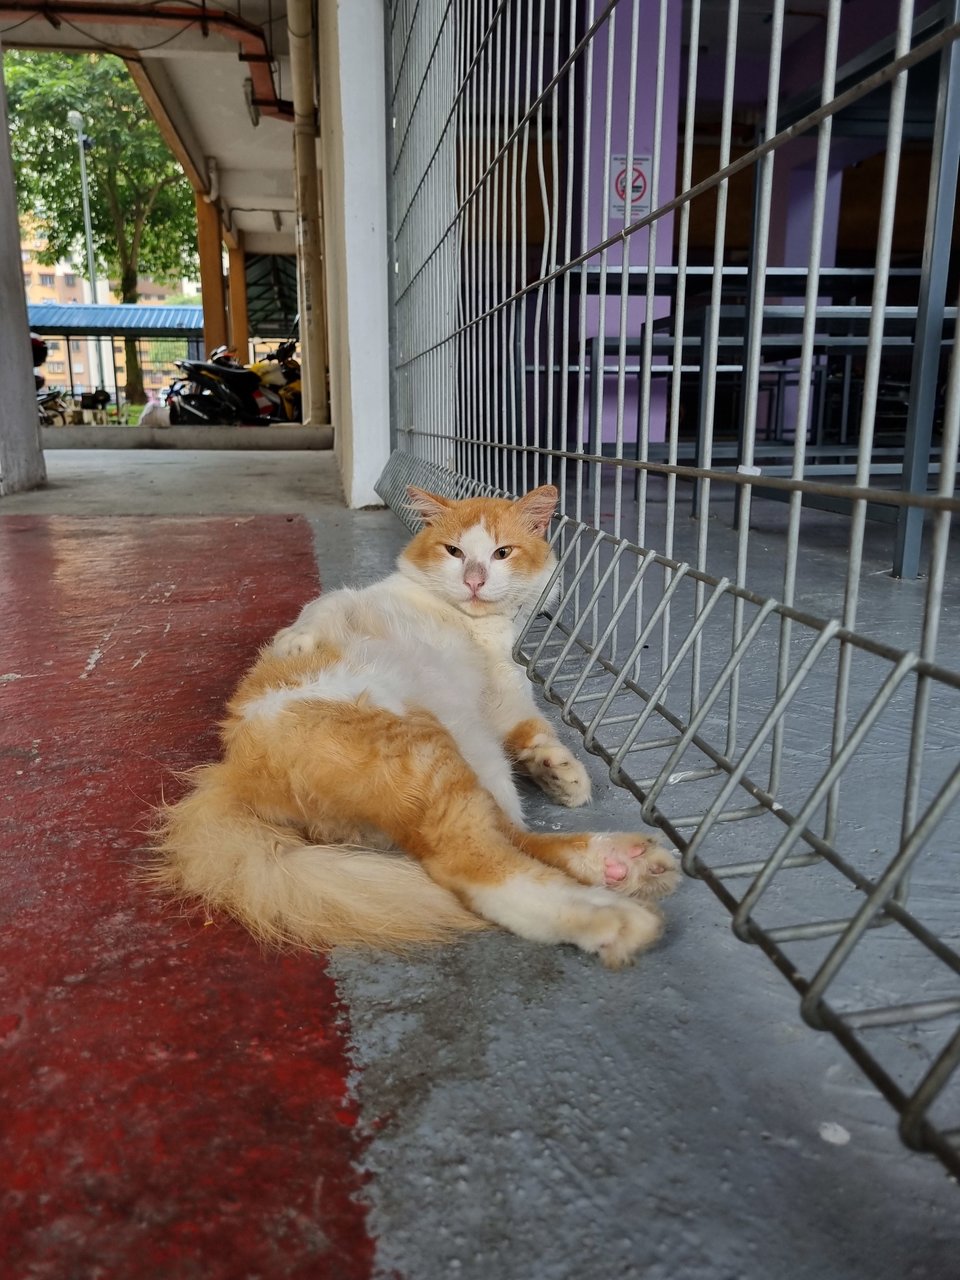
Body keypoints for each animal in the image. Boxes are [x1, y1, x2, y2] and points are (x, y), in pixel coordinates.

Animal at [154, 483, 680, 962]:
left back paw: (618, 865)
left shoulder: (505, 697)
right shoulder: (352, 599)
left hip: (471, 759)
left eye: (502, 553)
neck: (473, 625)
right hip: (425, 752)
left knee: (506, 835)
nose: (474, 579)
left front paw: (560, 772)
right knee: (471, 862)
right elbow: (320, 608)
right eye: (454, 551)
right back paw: (609, 913)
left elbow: (532, 729)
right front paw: (294, 642)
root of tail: (233, 771)